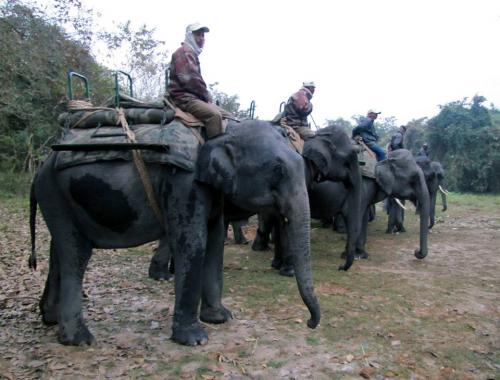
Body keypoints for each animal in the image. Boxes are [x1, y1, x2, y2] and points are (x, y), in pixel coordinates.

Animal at [30, 121, 320, 348]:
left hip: (58, 199)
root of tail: (39, 169)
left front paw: (222, 318)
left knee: (59, 252)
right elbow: (195, 243)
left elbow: (215, 243)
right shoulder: (184, 182)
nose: (309, 323)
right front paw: (196, 340)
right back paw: (79, 340)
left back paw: (50, 319)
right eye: (277, 171)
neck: (221, 131)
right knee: (76, 255)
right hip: (56, 194)